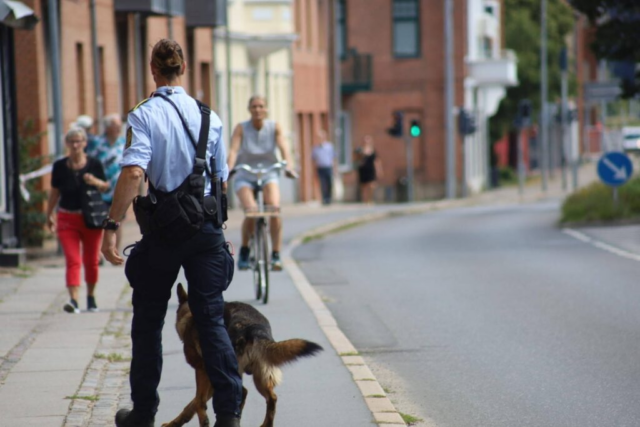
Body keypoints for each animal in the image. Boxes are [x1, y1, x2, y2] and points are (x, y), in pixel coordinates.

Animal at [162, 284, 322, 427]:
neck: (190, 314)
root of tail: (255, 330)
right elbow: (194, 403)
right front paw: (175, 422)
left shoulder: (202, 371)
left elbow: (197, 401)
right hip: (260, 376)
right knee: (270, 397)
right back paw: (265, 424)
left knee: (243, 392)